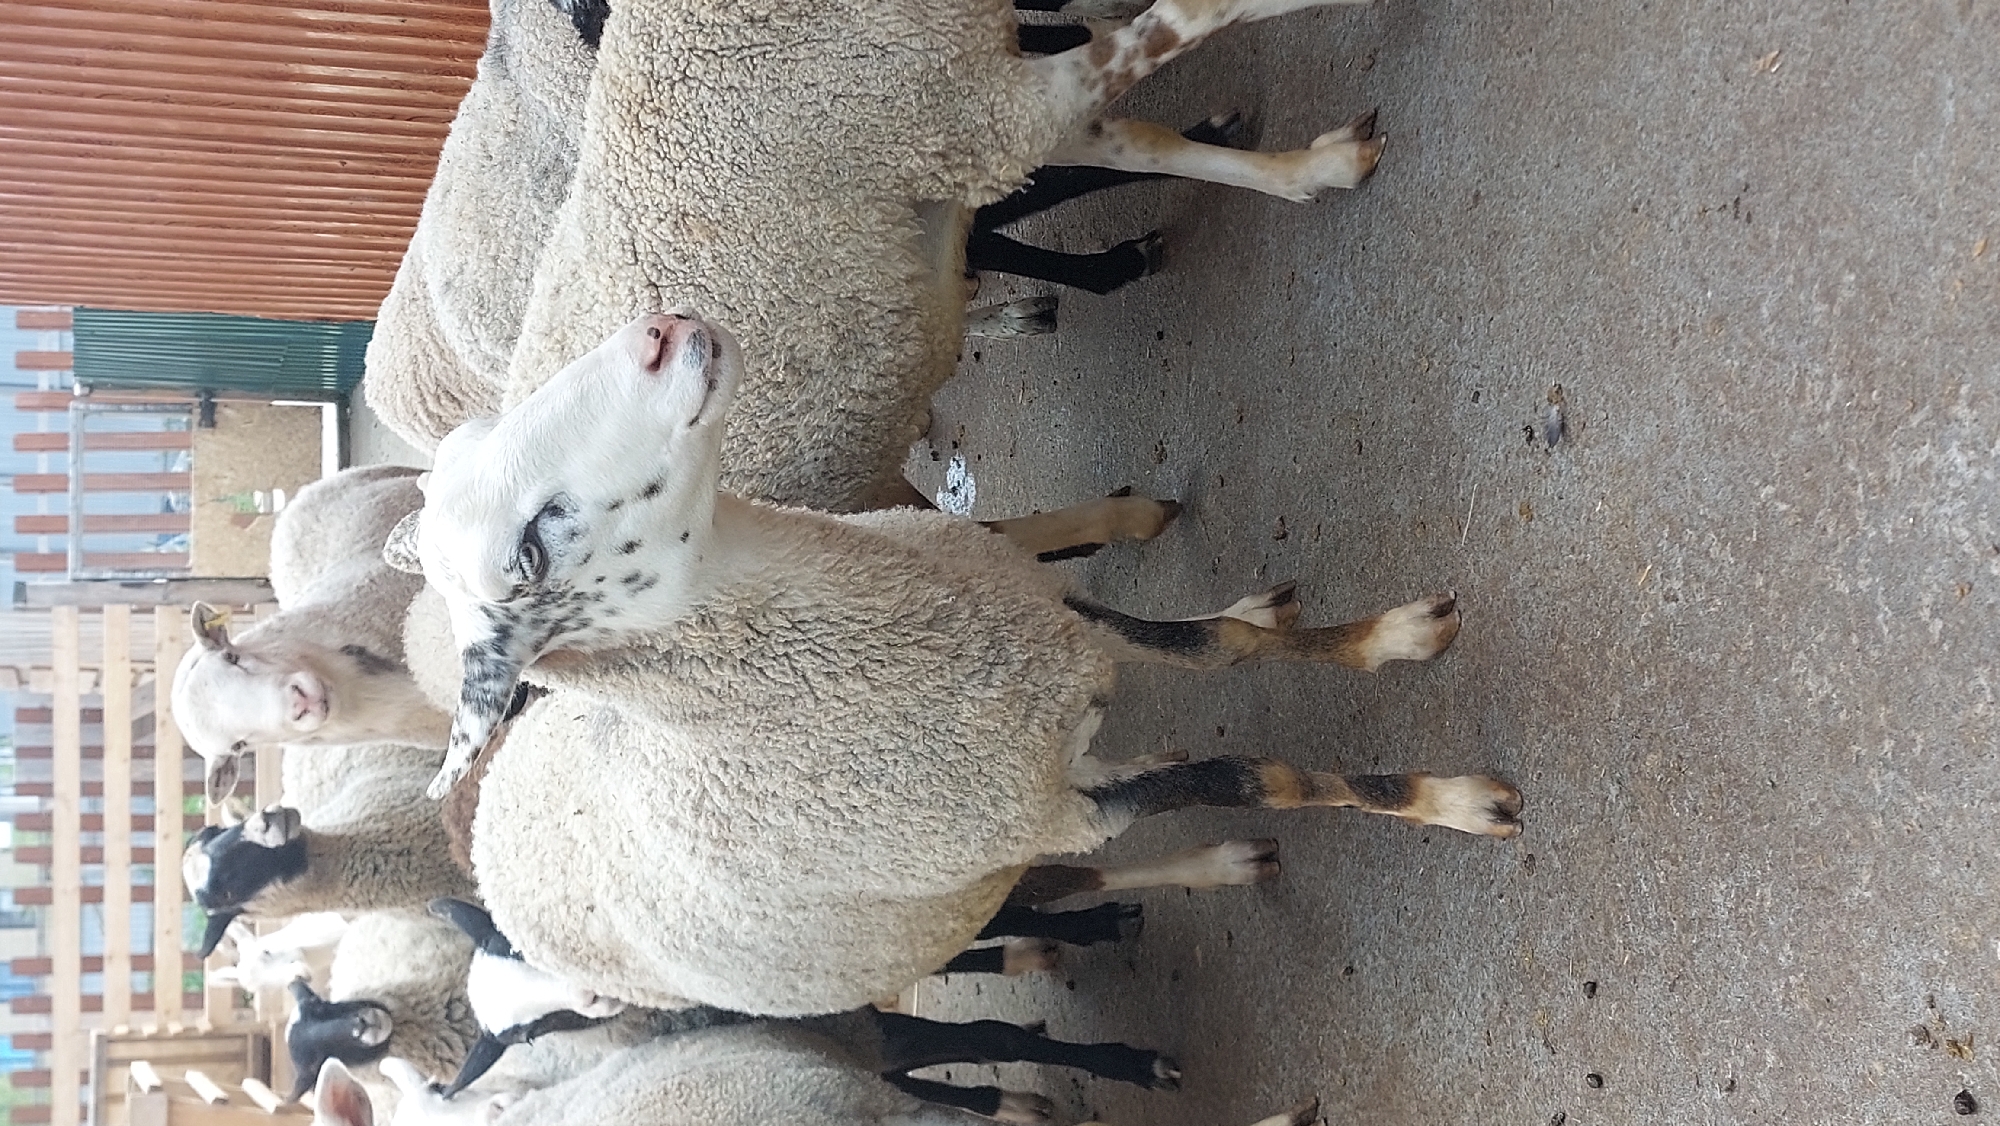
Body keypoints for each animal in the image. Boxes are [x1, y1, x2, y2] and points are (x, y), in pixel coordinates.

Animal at [404, 312, 1521, 1020]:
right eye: (531, 551)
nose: (658, 333)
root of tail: (489, 831)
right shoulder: (1060, 804)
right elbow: (1265, 776)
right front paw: (1456, 802)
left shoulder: (1054, 614)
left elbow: (1218, 645)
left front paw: (1389, 638)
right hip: (977, 888)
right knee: (1076, 882)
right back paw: (1215, 865)